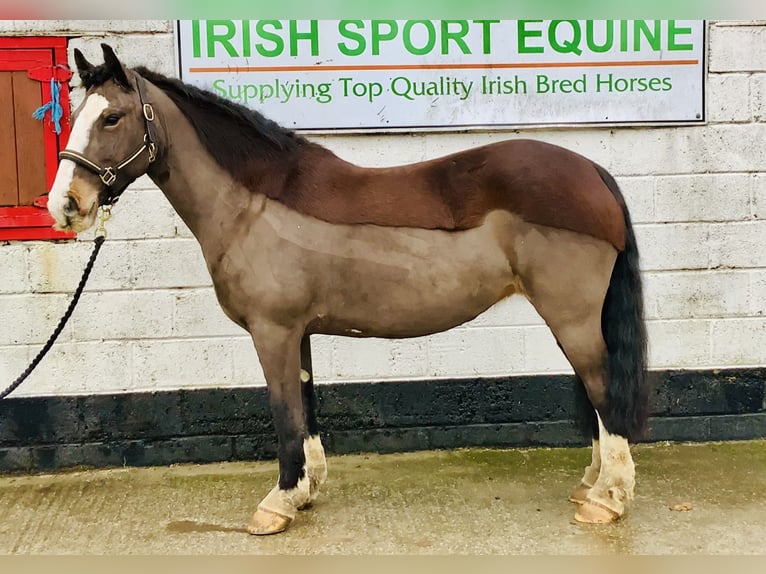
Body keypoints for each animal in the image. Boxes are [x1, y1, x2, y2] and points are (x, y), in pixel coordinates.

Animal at [47, 44, 648, 535]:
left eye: (112, 117)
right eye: (75, 116)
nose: (65, 205)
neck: (253, 204)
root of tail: (594, 172)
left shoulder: (273, 332)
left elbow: (285, 412)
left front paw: (277, 504)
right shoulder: (298, 333)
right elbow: (306, 404)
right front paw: (305, 492)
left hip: (571, 318)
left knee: (603, 390)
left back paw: (607, 501)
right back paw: (591, 485)